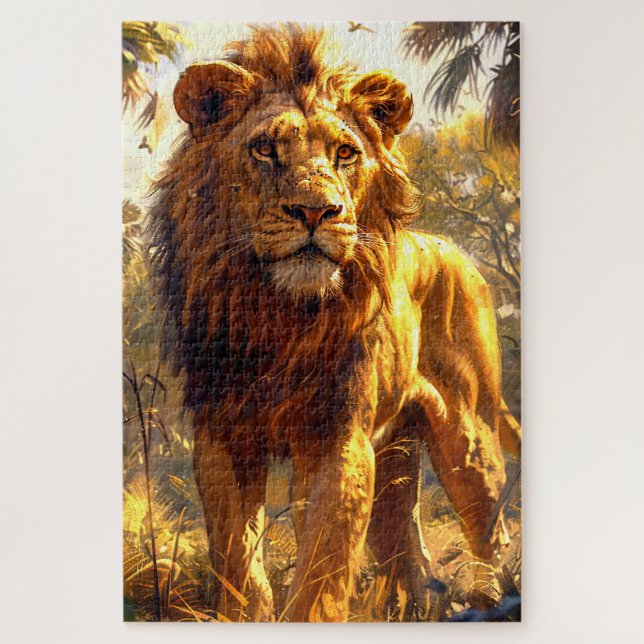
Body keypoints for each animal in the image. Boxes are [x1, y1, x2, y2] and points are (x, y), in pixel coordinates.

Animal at [148, 24, 521, 622]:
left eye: (345, 153)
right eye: (264, 148)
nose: (316, 211)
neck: (278, 316)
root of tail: (452, 250)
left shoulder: (337, 438)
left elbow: (324, 561)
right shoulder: (221, 437)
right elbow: (235, 554)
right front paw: (242, 615)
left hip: (469, 437)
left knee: (491, 529)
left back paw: (493, 597)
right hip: (396, 450)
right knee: (400, 540)